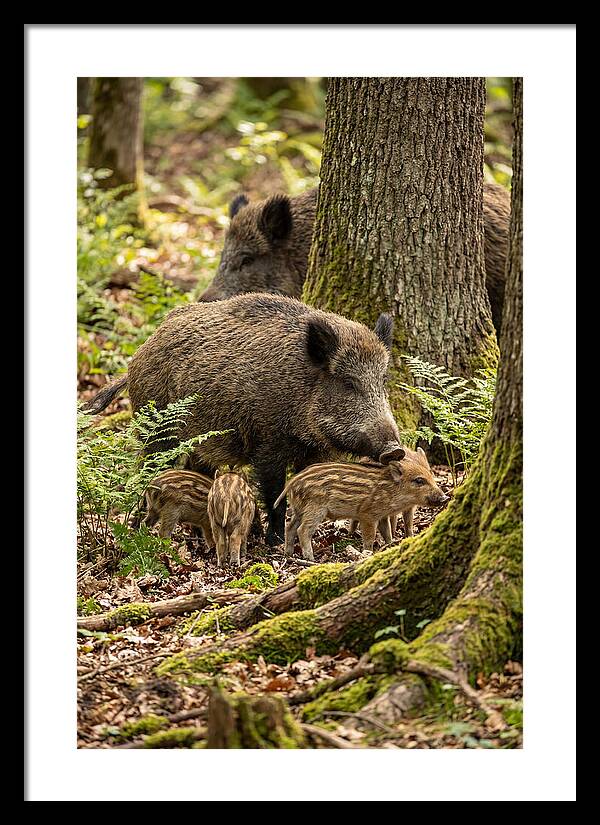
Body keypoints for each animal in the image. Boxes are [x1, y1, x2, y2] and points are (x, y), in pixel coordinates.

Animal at [83, 293, 402, 546]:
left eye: (382, 380)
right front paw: (274, 542)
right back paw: (137, 528)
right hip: (158, 430)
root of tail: (138, 354)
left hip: (200, 439)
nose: (395, 449)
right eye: (348, 383)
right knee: (147, 470)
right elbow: (274, 494)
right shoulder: (267, 443)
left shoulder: (314, 452)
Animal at [275, 447, 448, 561]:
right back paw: (310, 558)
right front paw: (368, 552)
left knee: (289, 527)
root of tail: (292, 483)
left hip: (299, 509)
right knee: (303, 530)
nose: (445, 498)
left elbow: (386, 531)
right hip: (315, 509)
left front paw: (390, 545)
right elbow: (369, 536)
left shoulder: (382, 515)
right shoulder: (368, 515)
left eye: (431, 475)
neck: (391, 490)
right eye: (419, 480)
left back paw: (288, 553)